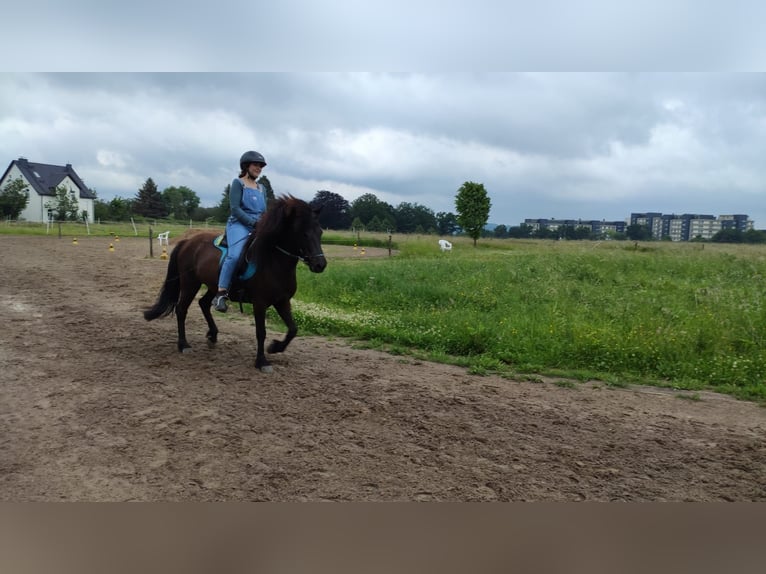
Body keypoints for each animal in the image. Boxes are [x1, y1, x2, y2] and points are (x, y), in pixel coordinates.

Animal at [144, 195, 328, 374]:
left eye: (319, 232)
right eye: (303, 233)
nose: (320, 264)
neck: (272, 260)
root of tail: (187, 242)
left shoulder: (282, 301)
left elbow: (293, 329)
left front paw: (275, 347)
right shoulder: (259, 303)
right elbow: (261, 332)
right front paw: (261, 362)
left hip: (213, 286)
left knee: (203, 303)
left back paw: (213, 335)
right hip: (190, 284)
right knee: (182, 309)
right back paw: (183, 345)